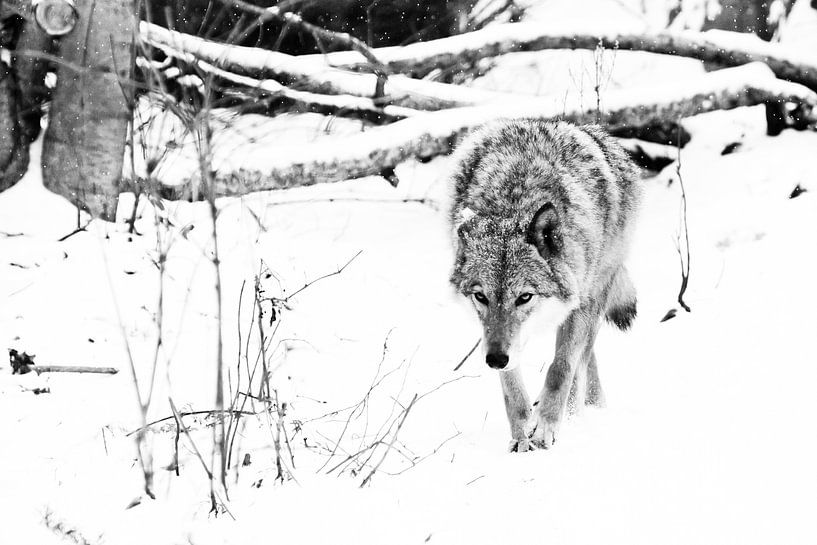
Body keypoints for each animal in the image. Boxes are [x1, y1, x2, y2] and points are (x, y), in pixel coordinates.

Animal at [449, 119, 641, 452]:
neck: (517, 196)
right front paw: (522, 435)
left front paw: (547, 427)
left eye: (525, 297)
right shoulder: (500, 340)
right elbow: (511, 387)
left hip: (598, 293)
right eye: (481, 297)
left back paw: (581, 412)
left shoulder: (580, 306)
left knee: (583, 357)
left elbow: (561, 368)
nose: (495, 359)